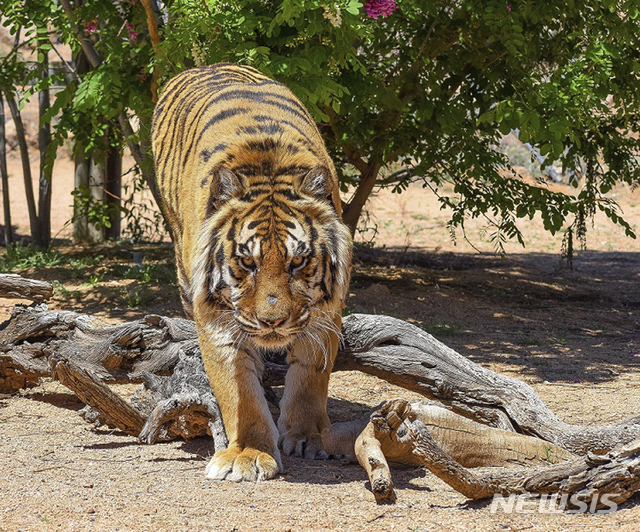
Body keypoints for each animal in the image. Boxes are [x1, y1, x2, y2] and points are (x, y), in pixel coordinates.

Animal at [150, 63, 352, 482]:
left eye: (298, 262)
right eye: (247, 263)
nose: (272, 322)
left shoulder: (326, 310)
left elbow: (311, 376)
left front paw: (309, 437)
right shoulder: (216, 315)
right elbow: (237, 388)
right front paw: (248, 452)